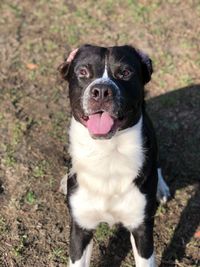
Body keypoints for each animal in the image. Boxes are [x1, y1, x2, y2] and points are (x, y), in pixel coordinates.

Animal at [58, 44, 170, 267]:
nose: (101, 91)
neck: (107, 153)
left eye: (125, 72)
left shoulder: (142, 228)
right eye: (83, 72)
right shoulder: (81, 227)